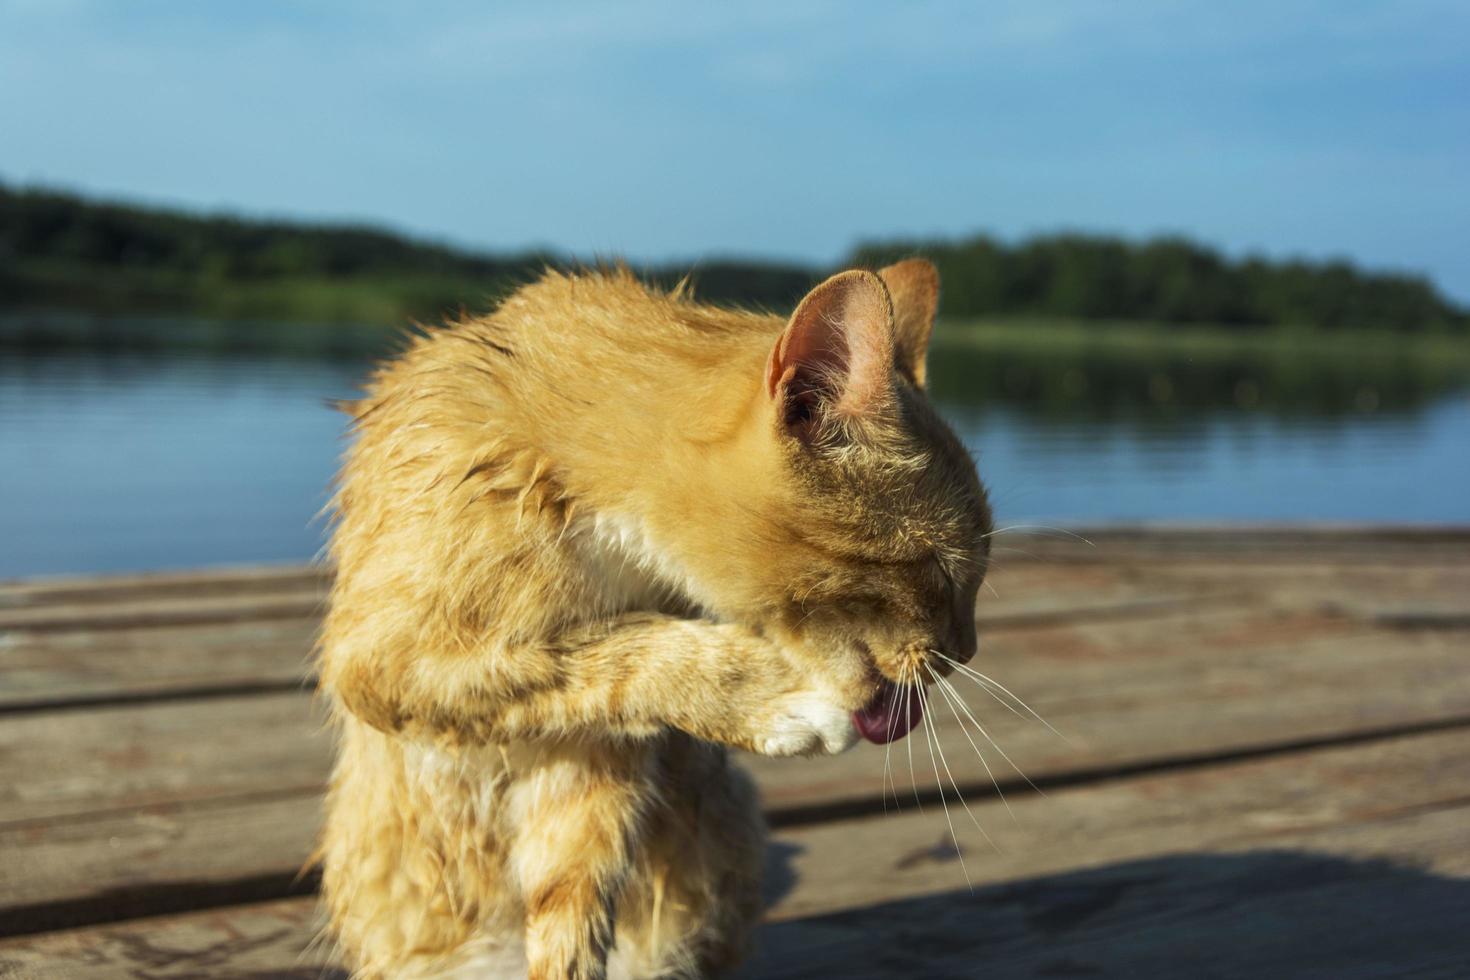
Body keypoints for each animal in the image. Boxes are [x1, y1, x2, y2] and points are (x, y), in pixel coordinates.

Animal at [316, 257, 993, 975]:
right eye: (943, 569)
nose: (967, 649)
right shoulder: (380, 661)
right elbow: (609, 654)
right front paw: (768, 697)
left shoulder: (590, 768)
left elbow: (572, 912)